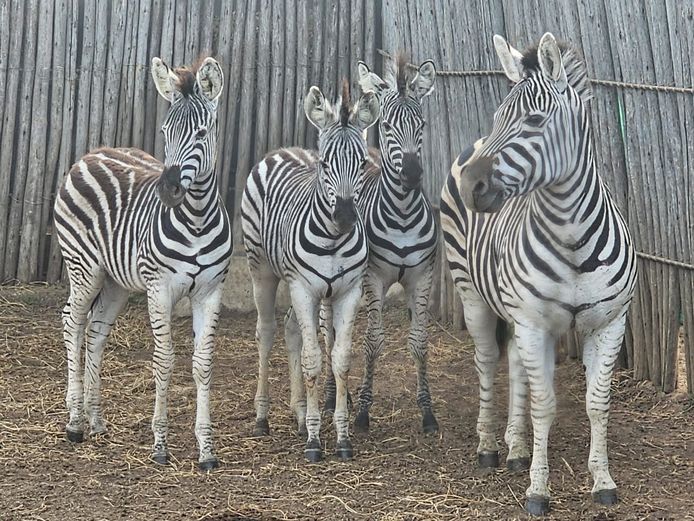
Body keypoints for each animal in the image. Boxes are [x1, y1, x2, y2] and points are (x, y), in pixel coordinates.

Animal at [53, 57, 232, 471]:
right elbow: (164, 360)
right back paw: (74, 423)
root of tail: (91, 154)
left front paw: (207, 450)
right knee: (73, 320)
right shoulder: (160, 289)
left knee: (96, 330)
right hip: (84, 267)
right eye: (166, 131)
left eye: (202, 133)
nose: (168, 190)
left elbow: (203, 364)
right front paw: (160, 446)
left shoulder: (210, 291)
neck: (196, 220)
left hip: (116, 280)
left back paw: (96, 420)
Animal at [241, 82, 379, 462]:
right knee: (267, 332)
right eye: (326, 163)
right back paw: (262, 418)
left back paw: (301, 415)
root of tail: (283, 150)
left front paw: (341, 437)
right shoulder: (304, 288)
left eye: (362, 163)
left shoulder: (348, 291)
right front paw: (316, 441)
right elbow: (314, 359)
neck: (332, 239)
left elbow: (340, 358)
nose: (344, 217)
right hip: (262, 270)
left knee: (292, 330)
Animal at [321, 54, 439, 434]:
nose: (412, 176)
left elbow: (419, 343)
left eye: (422, 123)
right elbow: (372, 342)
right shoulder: (373, 277)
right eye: (387, 126)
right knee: (329, 335)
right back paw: (332, 397)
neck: (402, 214)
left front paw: (427, 413)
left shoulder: (423, 277)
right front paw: (361, 412)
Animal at [440, 33, 637, 515]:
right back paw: (490, 447)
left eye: (533, 120)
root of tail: (472, 144)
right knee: (488, 361)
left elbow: (597, 403)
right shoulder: (533, 322)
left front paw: (603, 481)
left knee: (514, 364)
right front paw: (538, 490)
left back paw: (515, 448)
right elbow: (544, 404)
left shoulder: (609, 323)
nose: (473, 188)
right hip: (471, 293)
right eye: (498, 117)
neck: (573, 238)